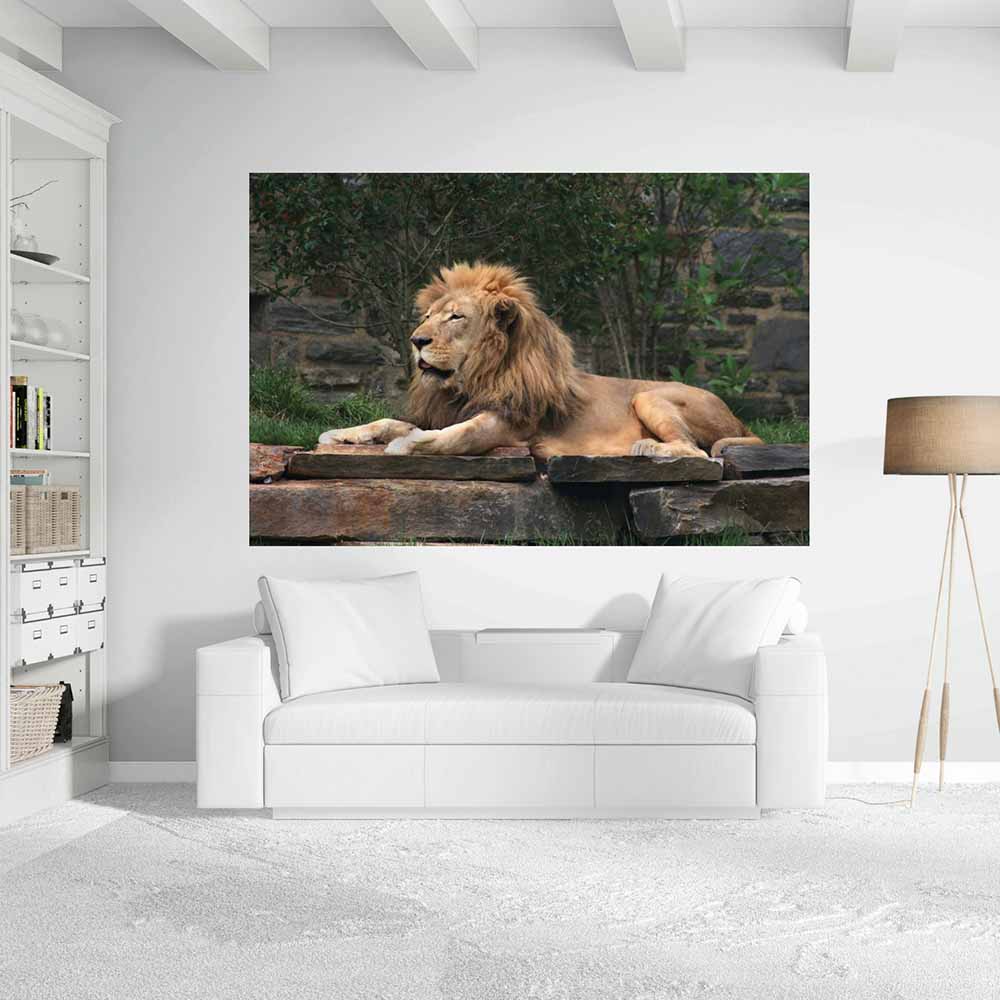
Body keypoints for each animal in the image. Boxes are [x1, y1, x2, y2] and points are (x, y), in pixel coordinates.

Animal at [319, 263, 763, 461]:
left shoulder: (509, 425)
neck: (473, 379)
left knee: (696, 451)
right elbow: (387, 421)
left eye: (456, 317)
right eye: (427, 316)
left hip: (650, 397)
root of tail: (740, 421)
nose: (416, 341)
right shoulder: (445, 410)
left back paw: (647, 447)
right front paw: (341, 433)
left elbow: (455, 435)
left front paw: (407, 444)